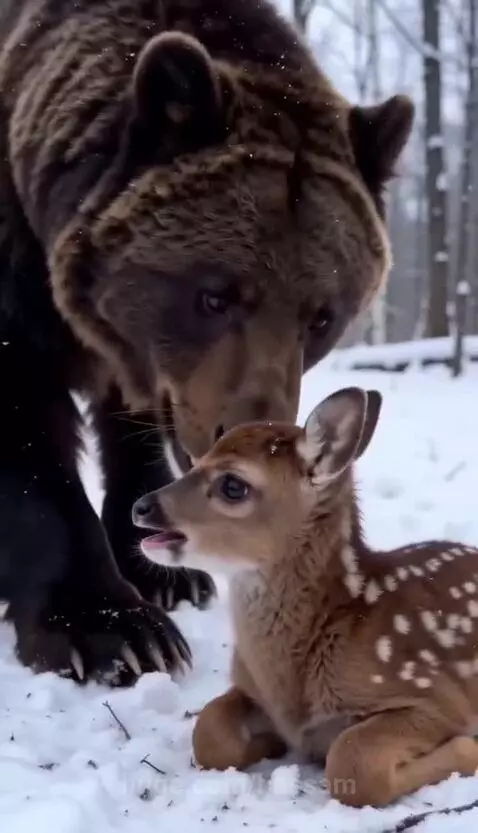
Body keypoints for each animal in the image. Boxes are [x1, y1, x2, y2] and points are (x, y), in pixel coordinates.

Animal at [0, 0, 414, 685]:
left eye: (321, 317)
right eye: (214, 295)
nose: (249, 430)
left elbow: (132, 423)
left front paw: (161, 567)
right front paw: (112, 627)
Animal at [132, 386, 478, 808]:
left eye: (233, 485)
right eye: (196, 461)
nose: (141, 507)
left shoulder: (433, 695)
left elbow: (353, 763)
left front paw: (468, 750)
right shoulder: (249, 689)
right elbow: (209, 732)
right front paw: (269, 744)